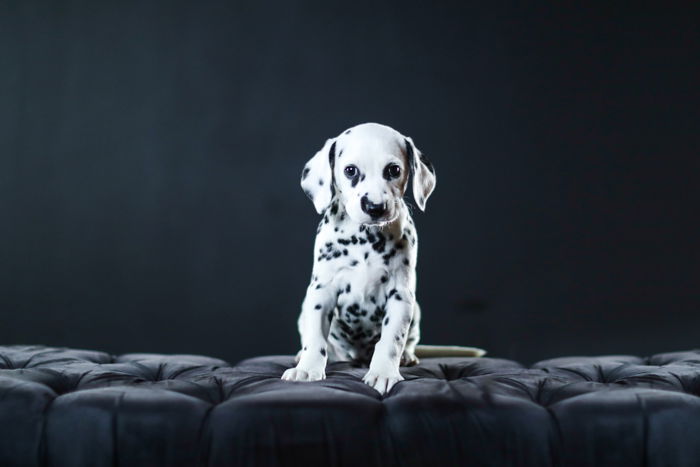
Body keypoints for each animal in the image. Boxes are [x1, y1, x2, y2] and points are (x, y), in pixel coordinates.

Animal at [282, 122, 484, 394]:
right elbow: (315, 338)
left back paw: (407, 356)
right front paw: (306, 368)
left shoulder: (401, 296)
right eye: (350, 171)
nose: (375, 207)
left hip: (416, 310)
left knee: (409, 341)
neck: (364, 239)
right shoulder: (321, 291)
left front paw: (383, 373)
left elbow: (391, 341)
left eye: (393, 170)